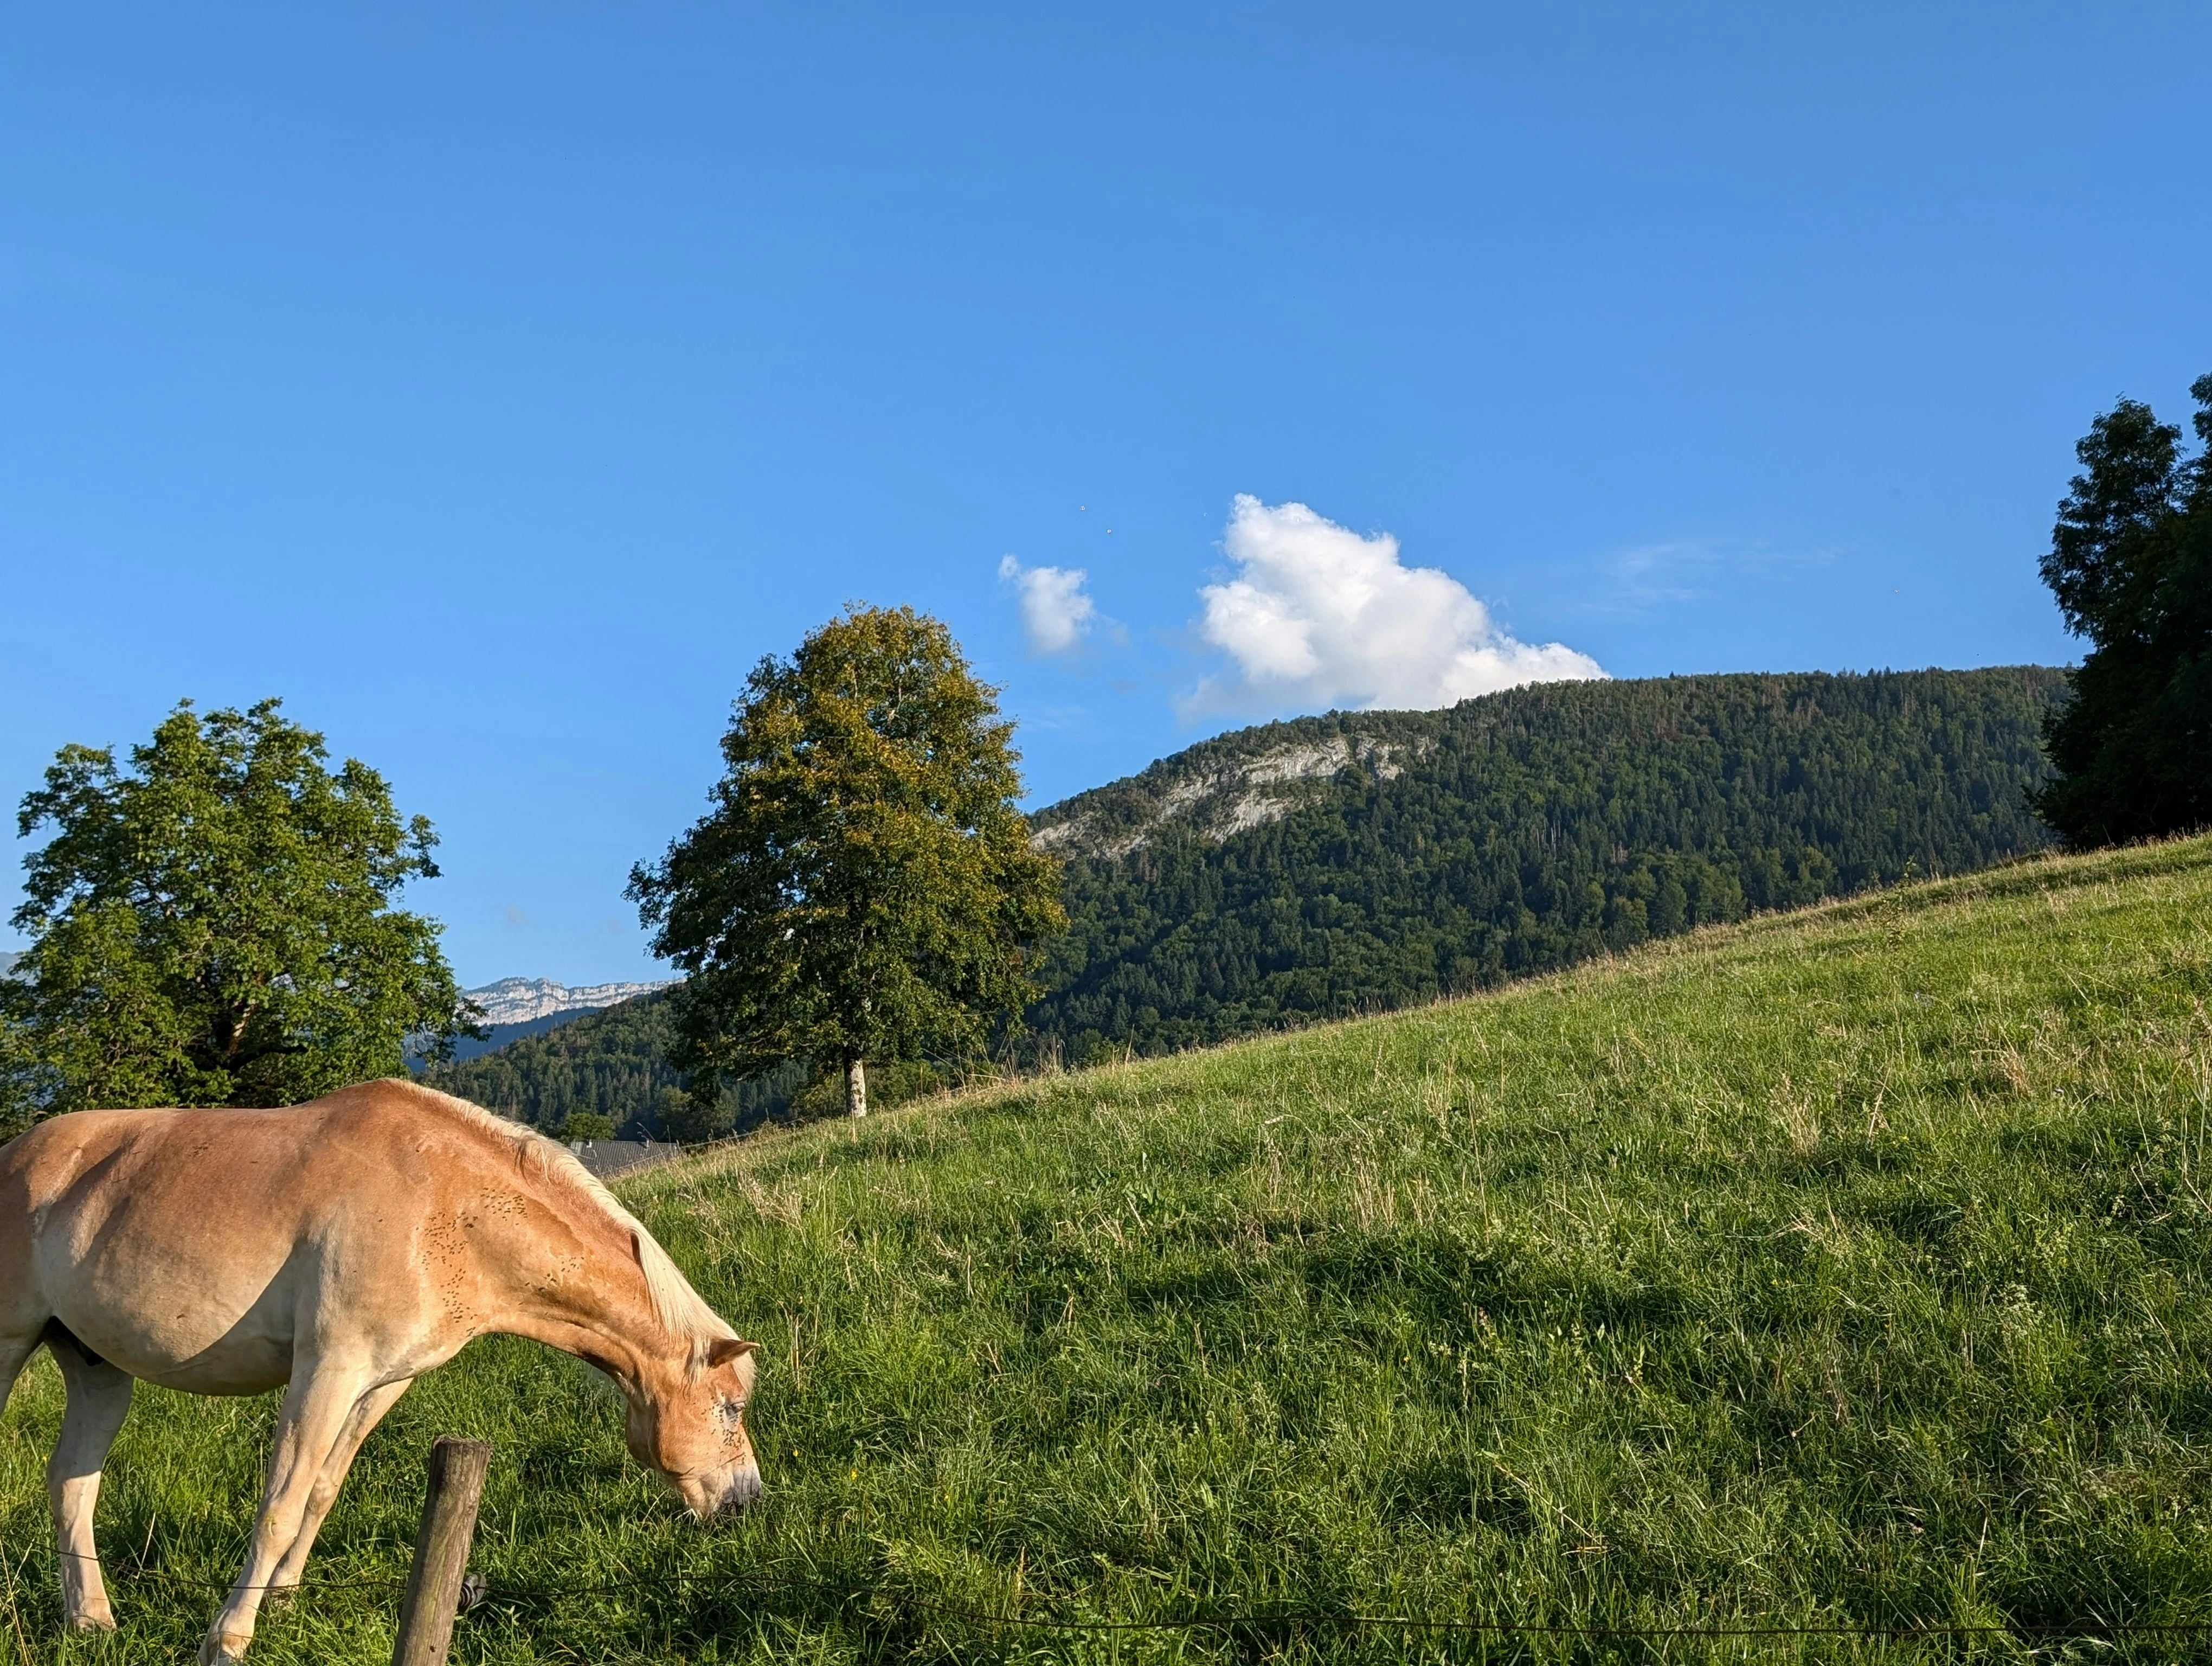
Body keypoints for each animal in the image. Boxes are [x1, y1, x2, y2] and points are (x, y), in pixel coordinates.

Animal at [0, 1078, 761, 1664]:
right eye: (731, 1408)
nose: (747, 1500)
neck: (446, 1208)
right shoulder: (330, 1367)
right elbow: (279, 1505)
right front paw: (227, 1639)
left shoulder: (384, 1381)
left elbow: (321, 1491)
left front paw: (282, 1599)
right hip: (11, 1346)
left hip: (98, 1370)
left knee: (72, 1485)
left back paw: (91, 1621)